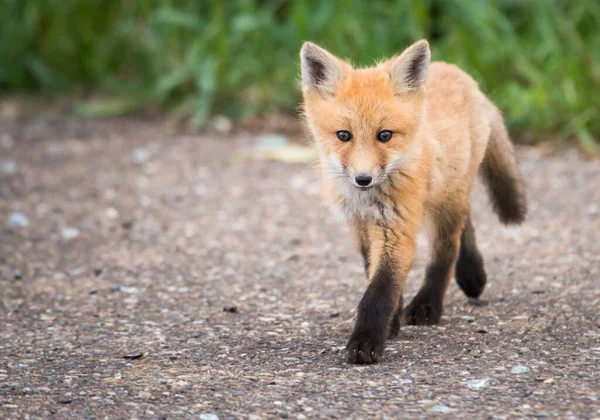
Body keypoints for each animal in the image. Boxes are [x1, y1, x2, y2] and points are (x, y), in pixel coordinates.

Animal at [300, 40, 524, 364]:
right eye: (344, 135)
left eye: (385, 135)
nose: (363, 179)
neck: (369, 199)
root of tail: (460, 73)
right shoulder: (361, 225)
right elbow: (375, 274)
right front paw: (390, 323)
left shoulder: (397, 226)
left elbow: (379, 291)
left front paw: (366, 341)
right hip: (446, 193)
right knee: (466, 222)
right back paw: (471, 274)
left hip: (447, 200)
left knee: (447, 249)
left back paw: (430, 303)